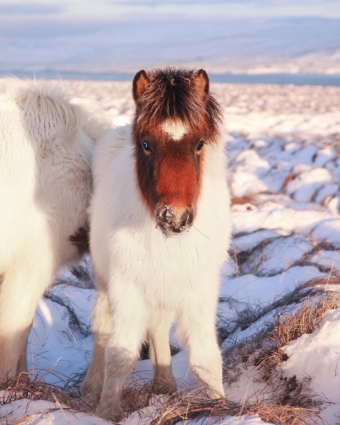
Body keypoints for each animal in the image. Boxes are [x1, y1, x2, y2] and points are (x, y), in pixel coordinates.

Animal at [81, 68, 232, 420]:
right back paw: (91, 388)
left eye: (199, 143)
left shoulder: (199, 289)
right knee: (103, 326)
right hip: (106, 281)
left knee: (159, 326)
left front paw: (222, 408)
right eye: (146, 143)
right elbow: (120, 353)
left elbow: (206, 357)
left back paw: (164, 384)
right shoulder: (127, 286)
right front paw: (107, 412)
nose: (174, 217)